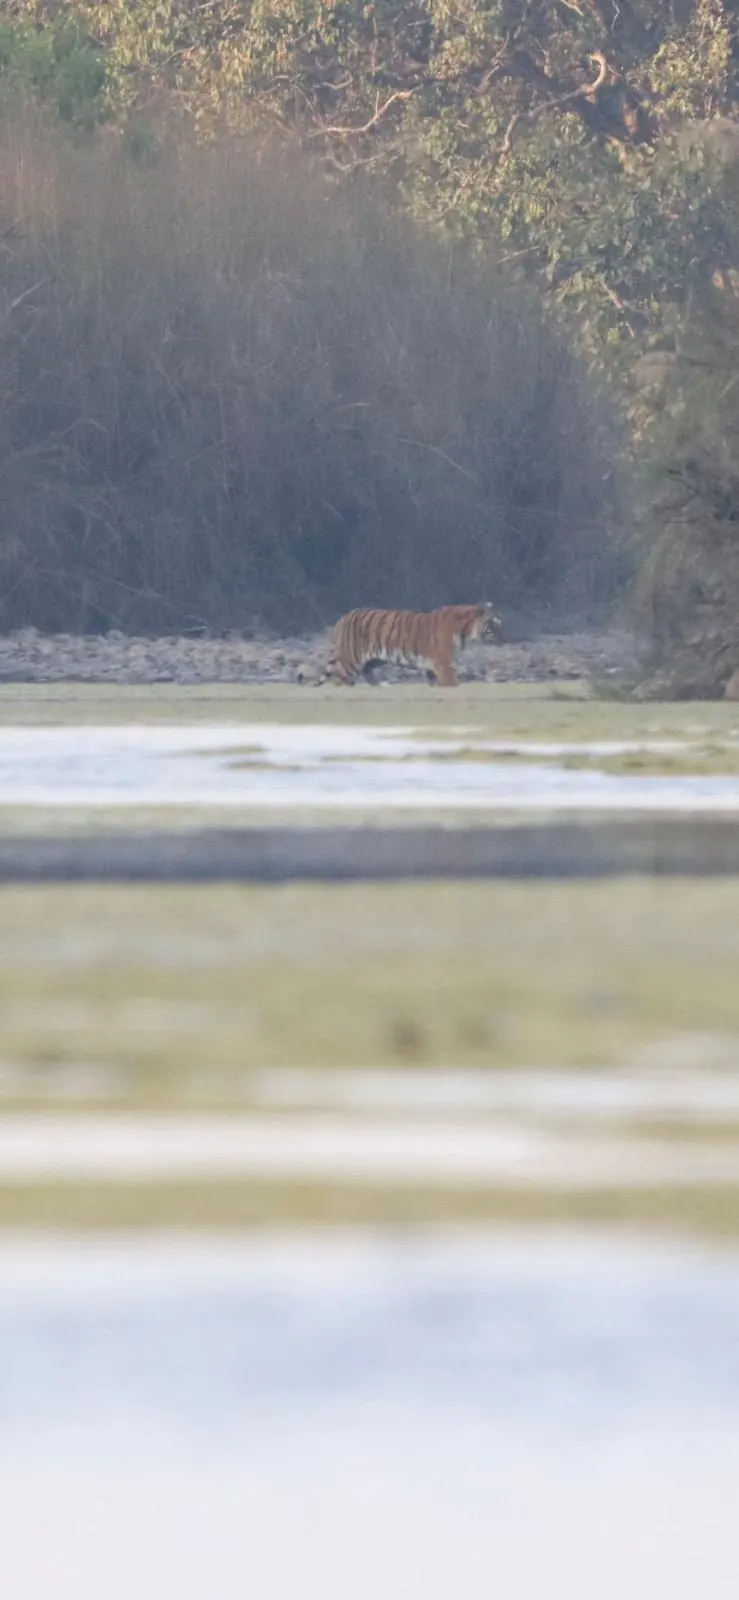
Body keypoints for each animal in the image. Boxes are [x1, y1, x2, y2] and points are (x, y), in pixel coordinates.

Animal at [299, 602, 503, 688]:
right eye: (492, 624)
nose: (504, 638)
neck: (464, 631)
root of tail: (342, 618)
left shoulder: (431, 669)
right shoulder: (444, 665)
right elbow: (452, 684)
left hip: (373, 661)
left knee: (366, 674)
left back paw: (378, 687)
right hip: (350, 662)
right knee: (338, 680)